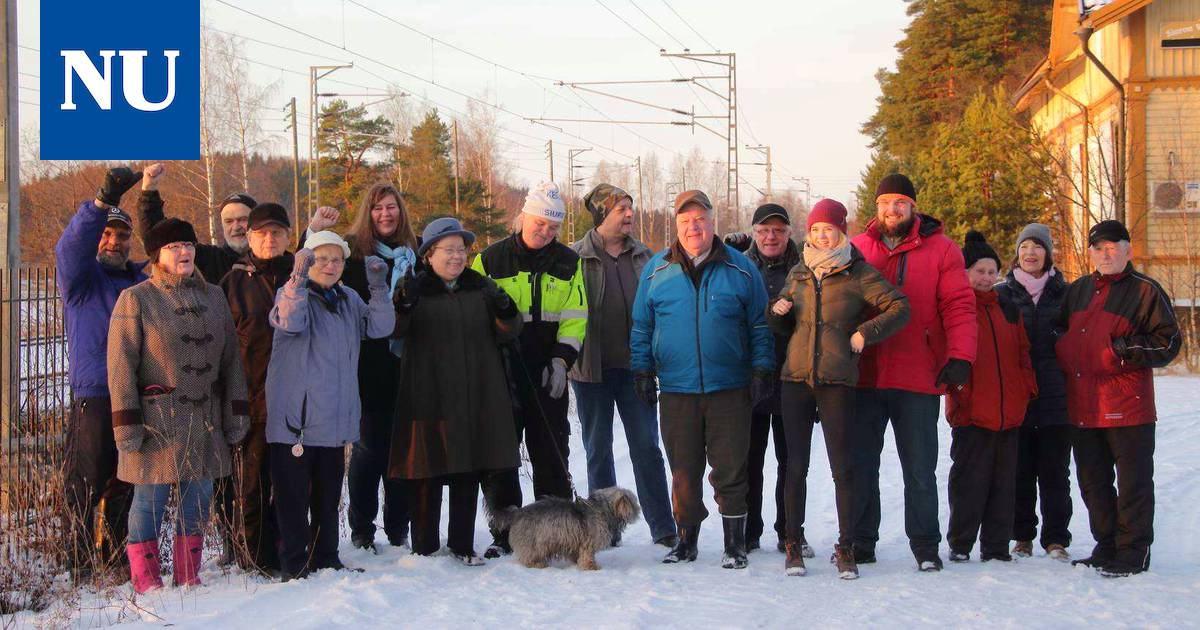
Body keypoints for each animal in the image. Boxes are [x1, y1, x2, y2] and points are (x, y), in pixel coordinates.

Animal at [489, 487, 638, 568]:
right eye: (634, 501)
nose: (639, 509)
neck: (600, 508)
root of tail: (518, 512)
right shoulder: (588, 542)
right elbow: (587, 556)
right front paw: (591, 567)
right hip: (532, 543)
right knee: (527, 558)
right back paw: (537, 564)